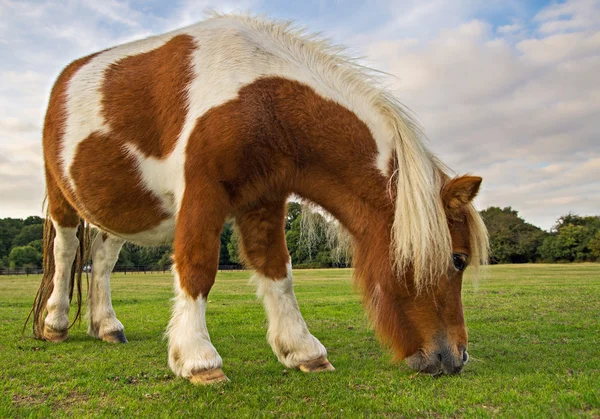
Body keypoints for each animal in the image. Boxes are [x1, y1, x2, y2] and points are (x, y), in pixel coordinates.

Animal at [29, 13, 488, 386]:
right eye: (458, 258)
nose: (455, 357)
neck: (260, 101)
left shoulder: (264, 198)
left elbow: (276, 269)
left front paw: (303, 351)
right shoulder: (202, 192)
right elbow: (197, 266)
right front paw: (198, 359)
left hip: (120, 211)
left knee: (102, 260)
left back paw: (106, 326)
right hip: (62, 197)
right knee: (67, 250)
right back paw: (55, 323)